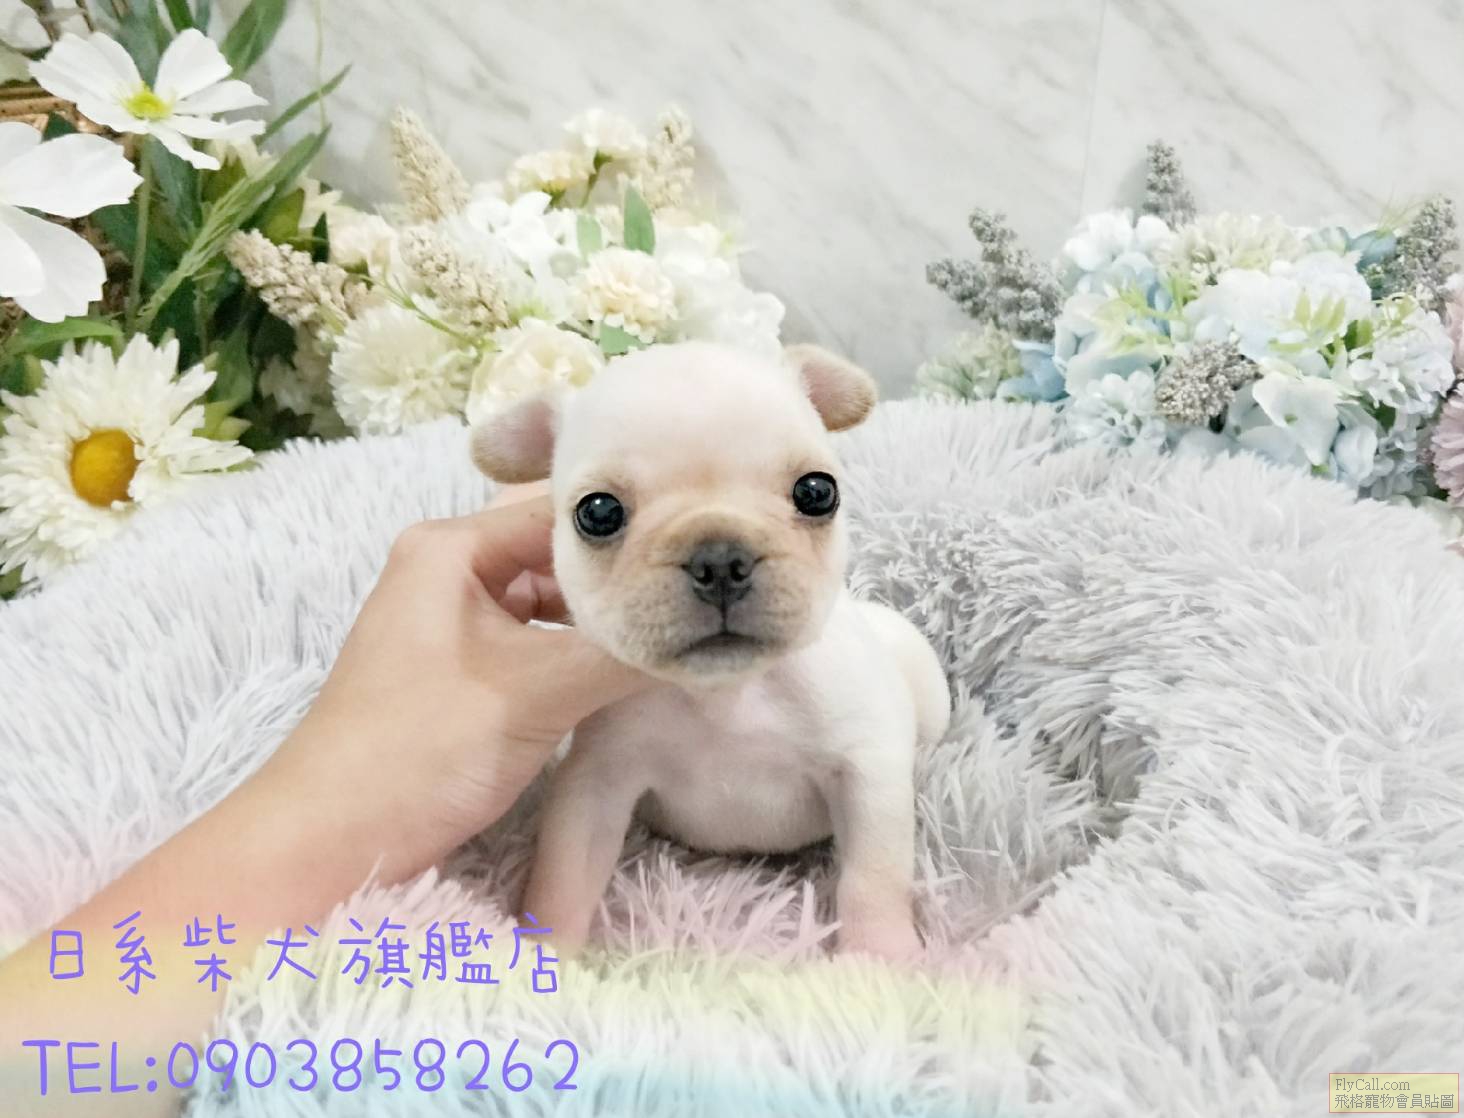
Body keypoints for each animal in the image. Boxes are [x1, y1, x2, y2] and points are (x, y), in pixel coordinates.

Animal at [470, 341, 950, 957]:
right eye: (598, 512)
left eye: (817, 492)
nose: (719, 558)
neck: (729, 693)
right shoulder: (595, 783)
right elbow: (564, 874)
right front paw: (546, 951)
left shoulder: (868, 772)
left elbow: (875, 876)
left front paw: (879, 958)